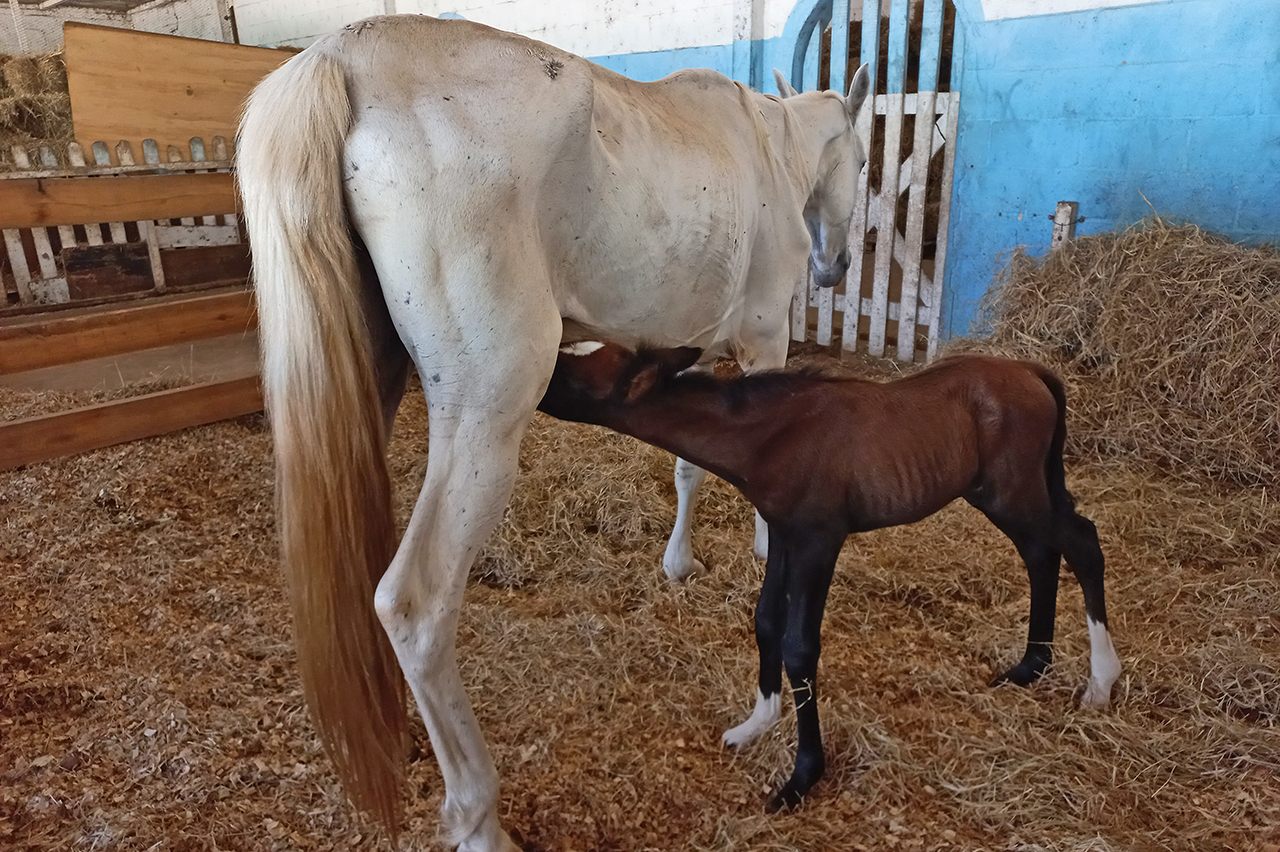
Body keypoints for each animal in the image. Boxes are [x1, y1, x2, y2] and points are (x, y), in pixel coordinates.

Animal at [236, 14, 875, 849]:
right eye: (862, 159)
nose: (835, 264)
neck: (768, 149)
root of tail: (339, 58)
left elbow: (690, 467)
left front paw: (678, 562)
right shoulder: (764, 341)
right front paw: (764, 549)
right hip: (485, 418)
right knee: (414, 605)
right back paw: (477, 815)